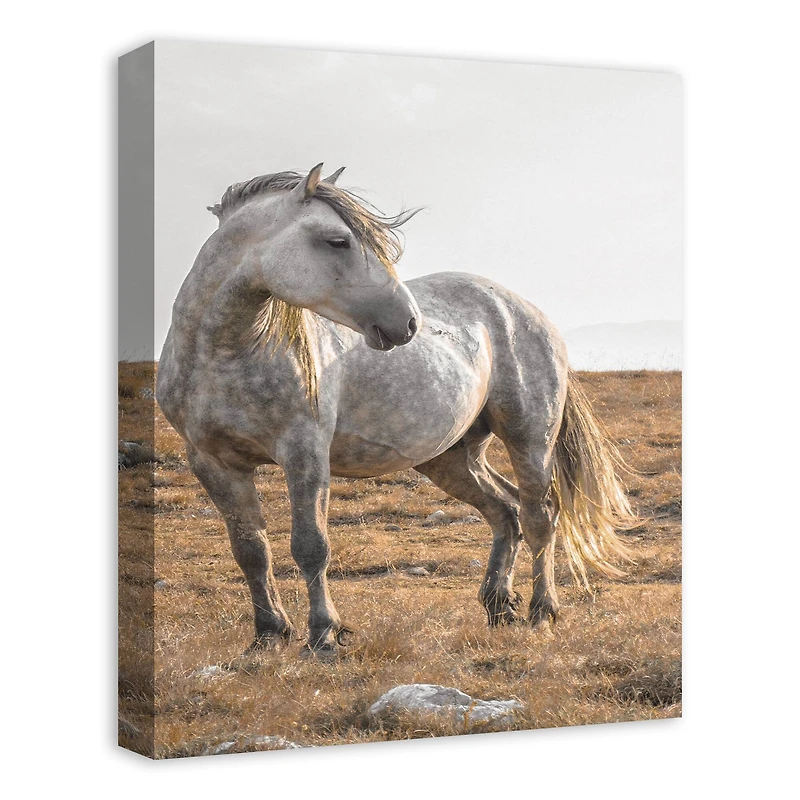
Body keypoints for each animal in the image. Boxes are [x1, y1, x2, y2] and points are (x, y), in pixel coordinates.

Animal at [156, 163, 635, 657]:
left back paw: (542, 612)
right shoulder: (213, 462)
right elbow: (251, 550)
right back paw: (498, 607)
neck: (225, 354)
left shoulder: (304, 453)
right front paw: (269, 635)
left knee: (540, 516)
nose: (408, 322)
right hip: (451, 458)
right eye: (337, 241)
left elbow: (310, 546)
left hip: (529, 437)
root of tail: (525, 310)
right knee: (506, 510)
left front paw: (323, 636)